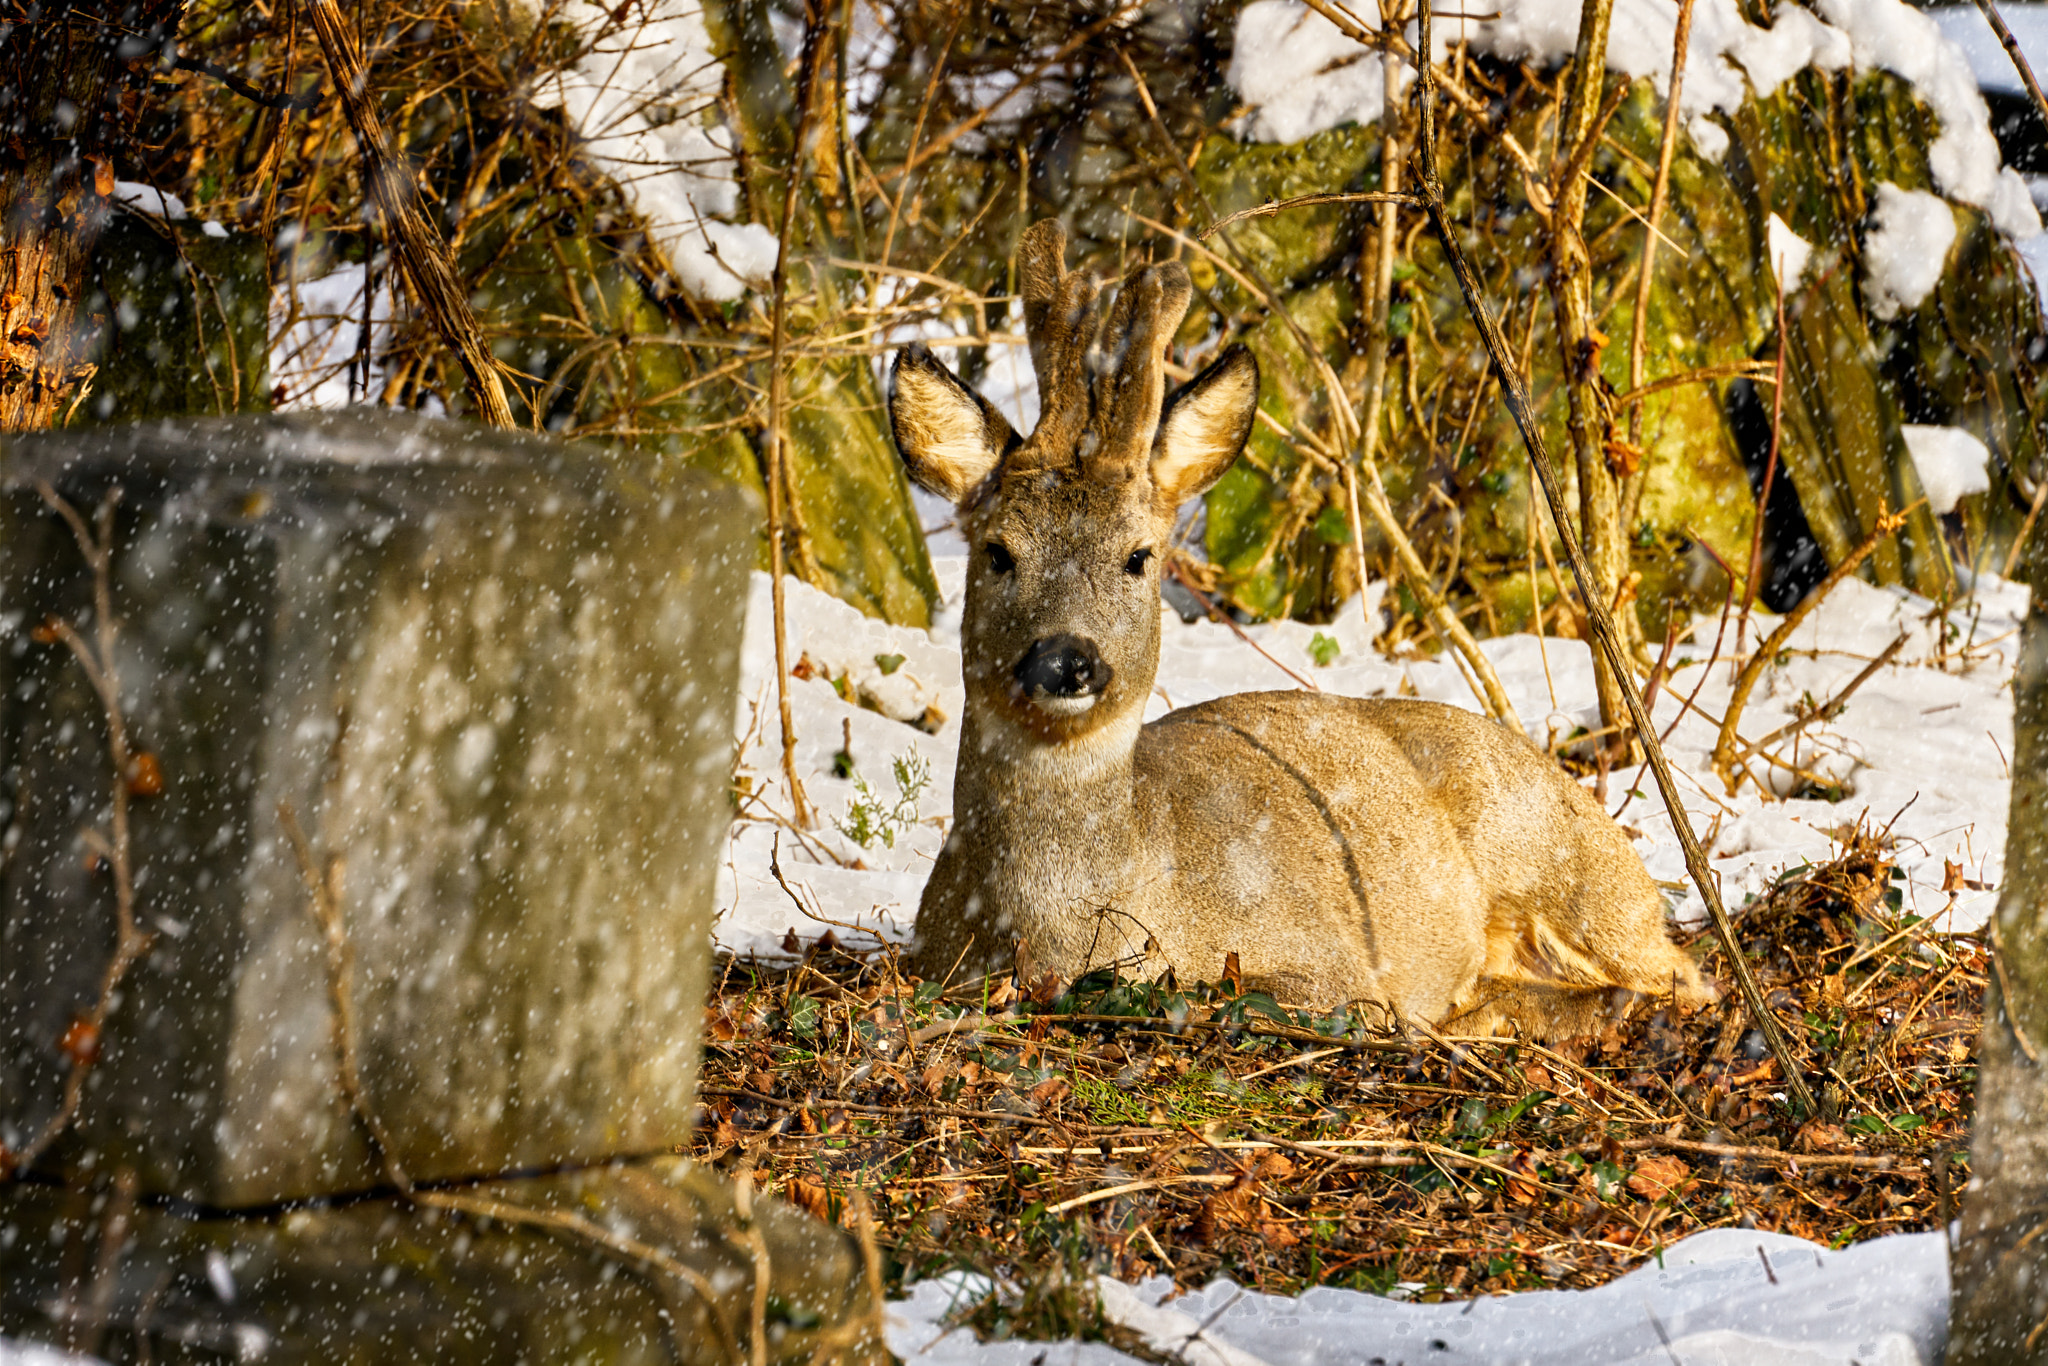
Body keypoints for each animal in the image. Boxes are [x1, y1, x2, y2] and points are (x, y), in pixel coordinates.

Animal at [888, 222, 1703, 1036]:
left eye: (1138, 556)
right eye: (999, 551)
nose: (1066, 659)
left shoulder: (1328, 962)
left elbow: (1250, 992)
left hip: (1566, 867)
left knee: (1683, 977)